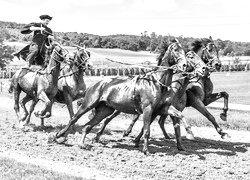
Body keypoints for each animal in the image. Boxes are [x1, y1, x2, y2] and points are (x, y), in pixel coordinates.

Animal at [53, 39, 190, 155]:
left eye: (184, 50)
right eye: (175, 49)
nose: (184, 65)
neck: (157, 83)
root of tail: (96, 84)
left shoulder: (162, 108)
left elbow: (179, 114)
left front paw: (188, 132)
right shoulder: (148, 109)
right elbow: (146, 131)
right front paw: (146, 150)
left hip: (104, 110)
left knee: (87, 126)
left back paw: (81, 144)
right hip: (88, 104)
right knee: (73, 119)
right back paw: (58, 136)